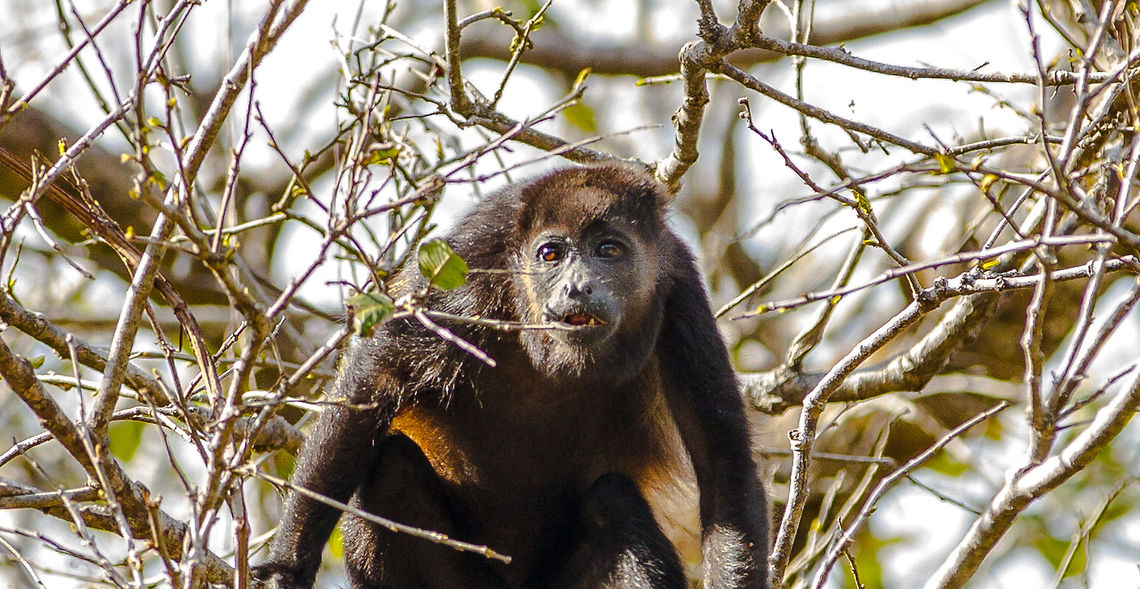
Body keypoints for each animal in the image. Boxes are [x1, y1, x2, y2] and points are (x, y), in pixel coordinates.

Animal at [252, 164, 768, 588]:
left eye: (609, 250)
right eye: (550, 254)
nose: (577, 287)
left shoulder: (680, 290)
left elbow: (721, 460)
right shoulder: (470, 259)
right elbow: (370, 389)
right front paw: (287, 572)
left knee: (613, 502)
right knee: (389, 468)